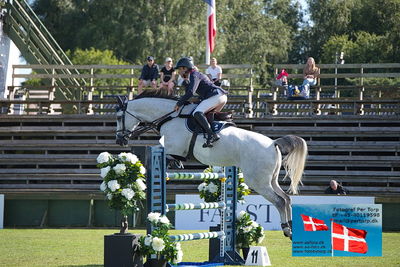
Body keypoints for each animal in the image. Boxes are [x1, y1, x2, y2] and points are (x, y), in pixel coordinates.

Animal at [114, 90, 308, 239]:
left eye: (118, 117)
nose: (119, 140)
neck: (170, 117)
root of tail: (273, 143)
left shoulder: (172, 149)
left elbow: (166, 155)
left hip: (258, 182)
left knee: (279, 201)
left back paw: (287, 230)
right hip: (270, 180)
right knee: (286, 198)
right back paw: (290, 228)